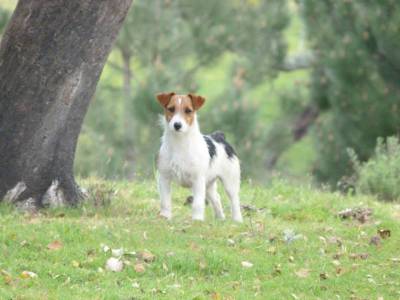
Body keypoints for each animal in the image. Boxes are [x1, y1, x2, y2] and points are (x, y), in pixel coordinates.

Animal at [156, 92, 244, 221]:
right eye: (171, 109)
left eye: (188, 110)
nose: (177, 125)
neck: (180, 143)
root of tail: (220, 137)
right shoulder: (164, 178)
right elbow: (165, 201)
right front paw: (165, 216)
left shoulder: (197, 180)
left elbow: (197, 203)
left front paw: (197, 220)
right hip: (208, 184)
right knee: (216, 198)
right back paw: (220, 218)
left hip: (230, 182)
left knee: (235, 200)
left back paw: (237, 220)